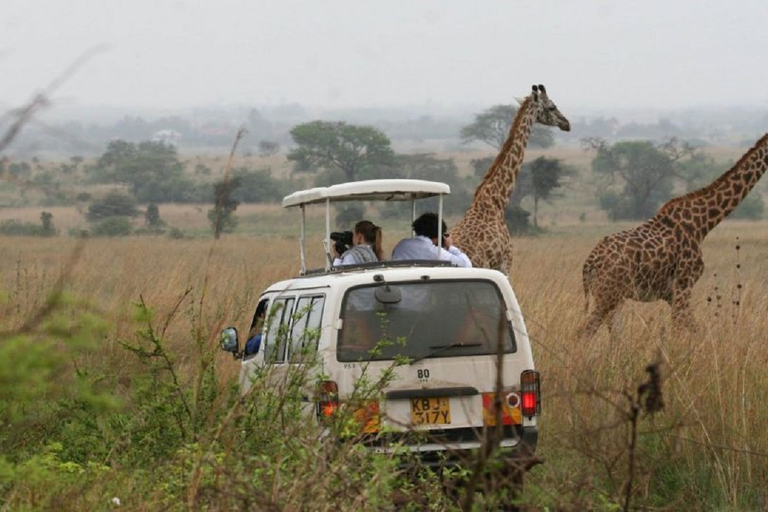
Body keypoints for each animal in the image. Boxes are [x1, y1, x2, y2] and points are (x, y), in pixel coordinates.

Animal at [584, 132, 768, 336]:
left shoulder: (672, 294)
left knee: (613, 333)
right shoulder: (683, 285)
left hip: (614, 297)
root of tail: (589, 264)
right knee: (584, 331)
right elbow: (679, 331)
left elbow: (694, 330)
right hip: (607, 295)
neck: (702, 224)